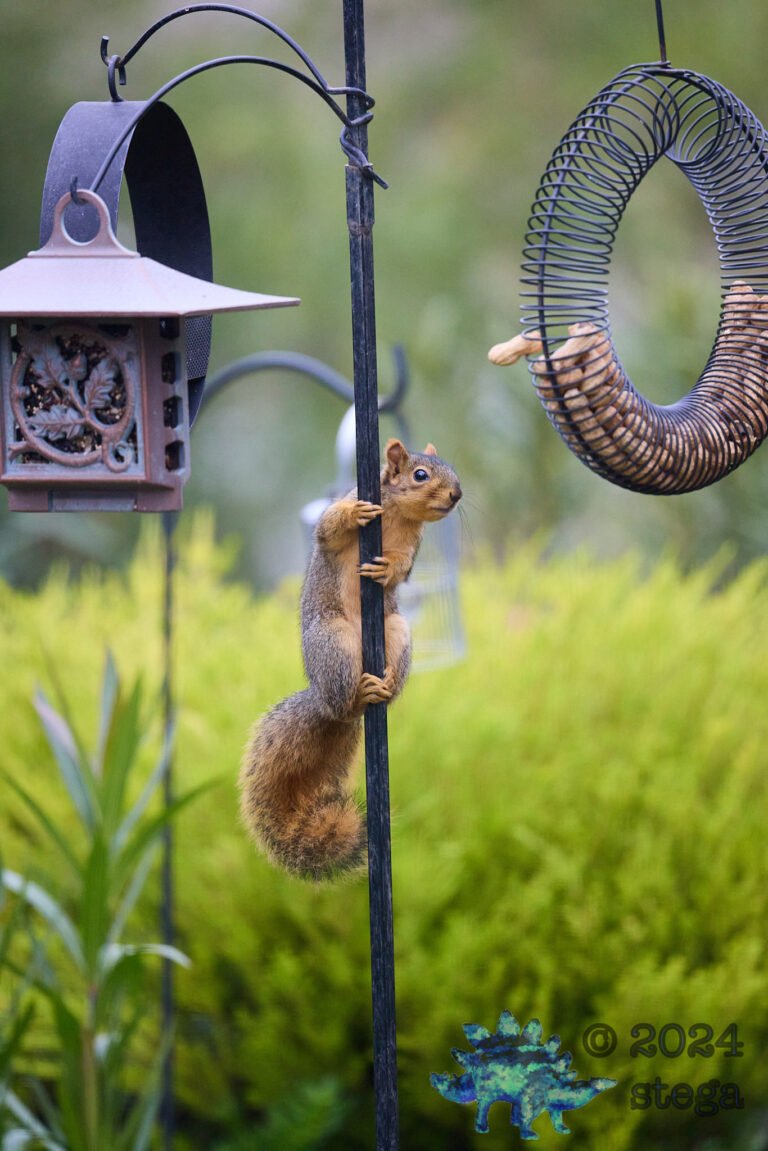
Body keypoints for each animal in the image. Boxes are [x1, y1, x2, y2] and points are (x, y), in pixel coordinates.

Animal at [238, 438, 462, 881]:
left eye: (453, 470)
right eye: (420, 475)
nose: (457, 494)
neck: (397, 514)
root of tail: (324, 701)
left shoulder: (411, 548)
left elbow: (401, 571)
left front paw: (388, 570)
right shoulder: (341, 517)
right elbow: (327, 529)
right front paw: (354, 513)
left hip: (397, 631)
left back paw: (385, 685)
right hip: (333, 640)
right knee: (344, 702)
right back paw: (358, 694)